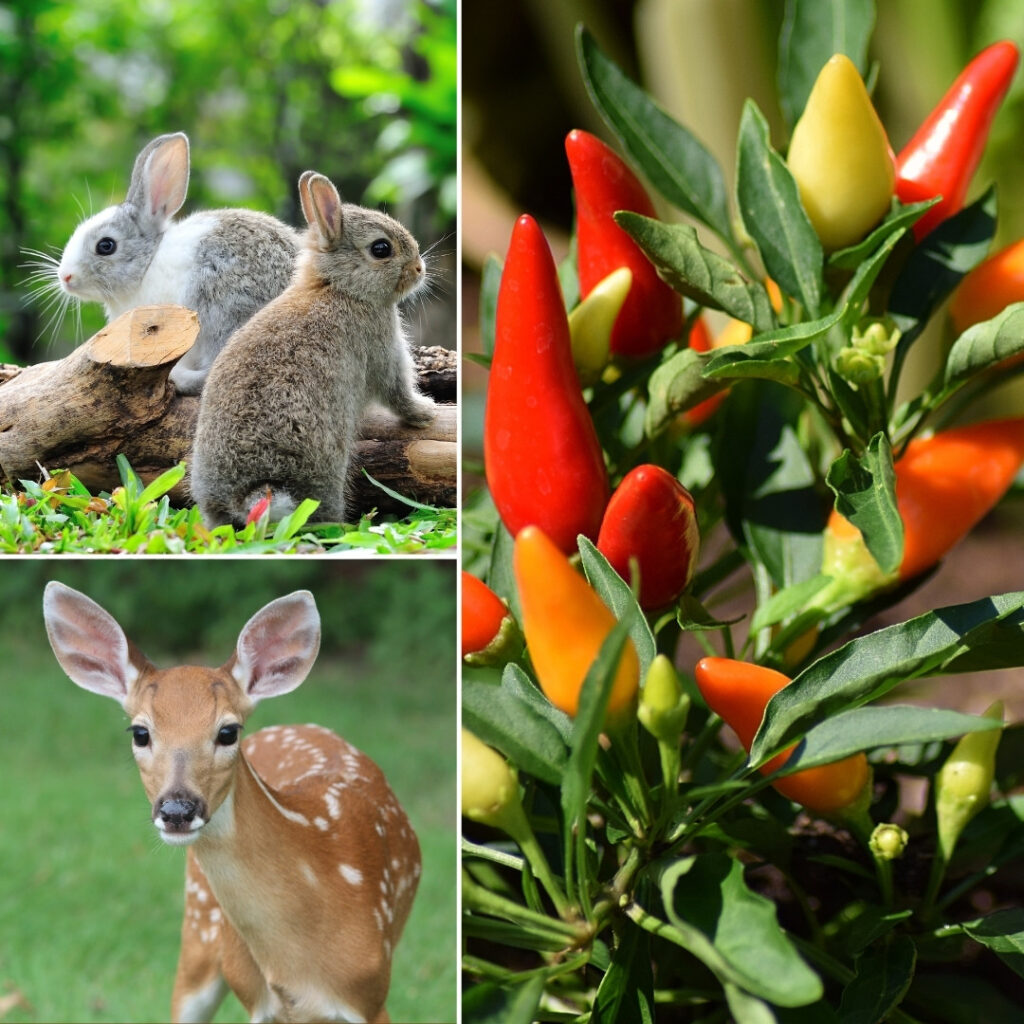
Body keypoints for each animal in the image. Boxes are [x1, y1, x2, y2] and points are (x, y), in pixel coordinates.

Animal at [190, 168, 438, 528]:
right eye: (381, 249)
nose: (419, 269)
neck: (339, 288)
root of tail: (248, 494)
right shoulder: (382, 350)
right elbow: (397, 393)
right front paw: (426, 412)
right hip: (325, 467)